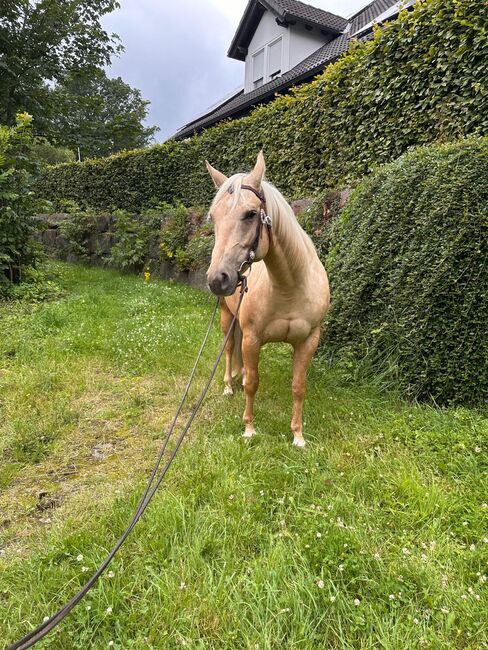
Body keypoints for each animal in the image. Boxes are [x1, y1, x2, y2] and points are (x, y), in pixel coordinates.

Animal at [204, 152, 330, 446]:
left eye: (251, 214)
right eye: (213, 218)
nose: (217, 279)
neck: (290, 287)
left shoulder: (309, 341)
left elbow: (298, 386)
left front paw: (298, 436)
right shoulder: (252, 339)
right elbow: (252, 383)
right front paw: (249, 429)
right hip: (227, 318)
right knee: (230, 350)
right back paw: (229, 386)